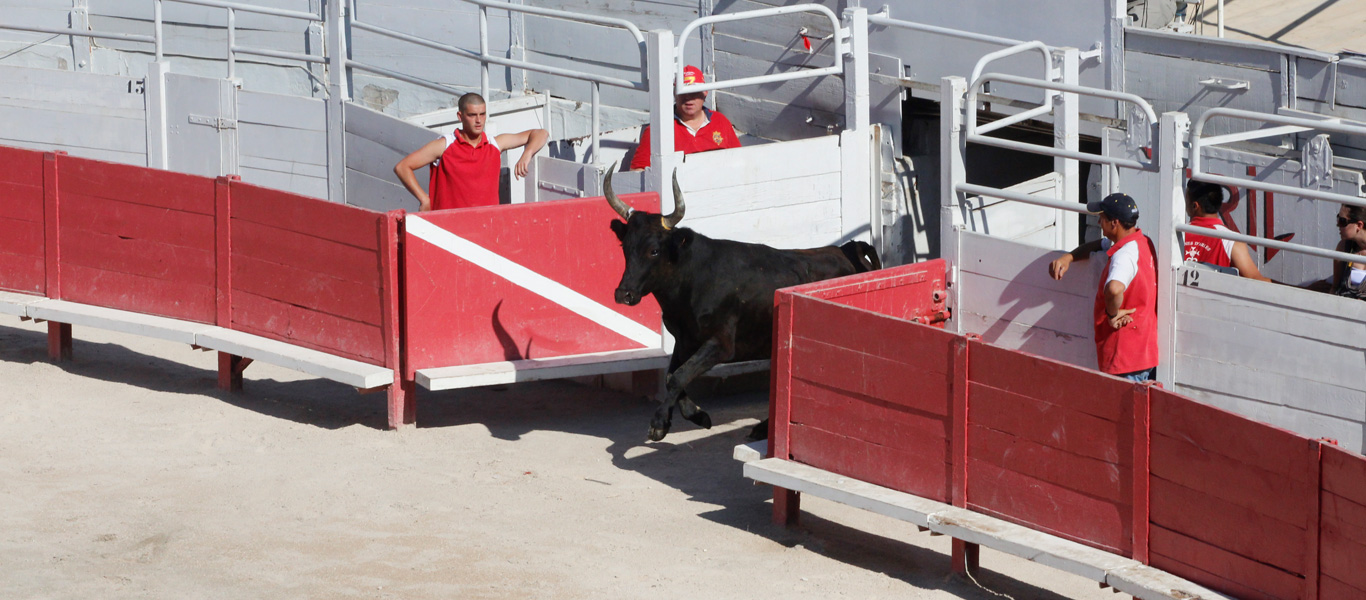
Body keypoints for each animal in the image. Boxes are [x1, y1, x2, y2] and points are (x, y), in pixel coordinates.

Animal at [606, 169, 879, 442]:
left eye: (653, 250)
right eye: (625, 247)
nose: (623, 294)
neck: (693, 278)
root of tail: (847, 250)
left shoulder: (721, 344)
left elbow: (679, 376)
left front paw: (658, 424)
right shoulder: (685, 340)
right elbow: (673, 375)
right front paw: (694, 415)